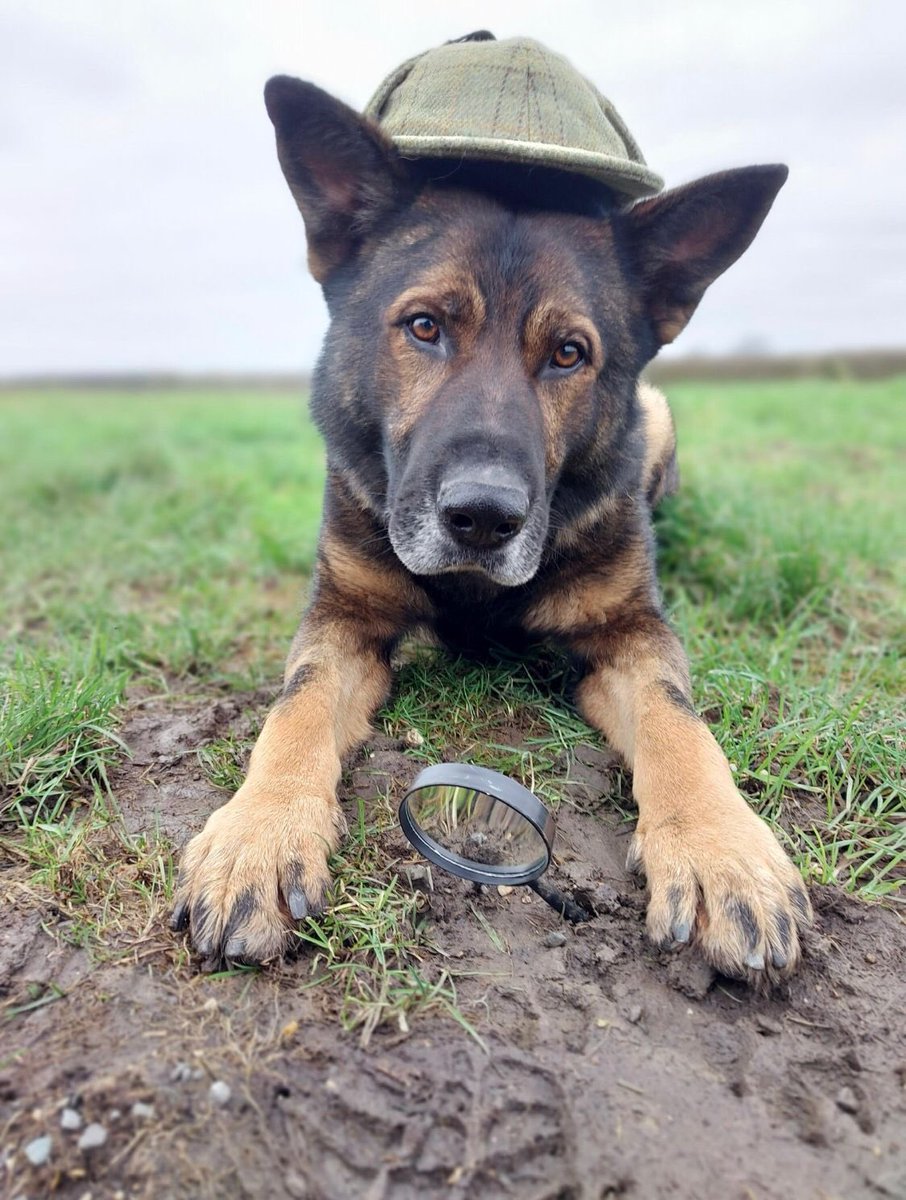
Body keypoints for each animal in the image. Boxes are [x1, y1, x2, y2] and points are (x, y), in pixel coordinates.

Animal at [170, 75, 816, 984]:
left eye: (570, 353)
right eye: (425, 327)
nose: (482, 518)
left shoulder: (631, 633)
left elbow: (680, 724)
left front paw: (724, 853)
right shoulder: (343, 622)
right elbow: (292, 712)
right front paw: (256, 837)